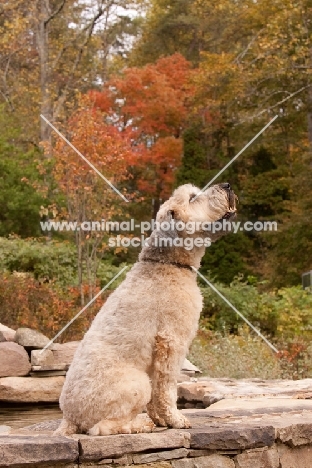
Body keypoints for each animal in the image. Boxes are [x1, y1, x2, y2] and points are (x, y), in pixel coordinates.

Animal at [54, 182, 236, 436]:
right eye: (192, 197)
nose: (227, 185)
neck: (169, 264)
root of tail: (69, 417)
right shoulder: (171, 341)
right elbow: (167, 388)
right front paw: (175, 419)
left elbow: (158, 395)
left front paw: (161, 419)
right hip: (136, 384)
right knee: (102, 427)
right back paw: (140, 424)